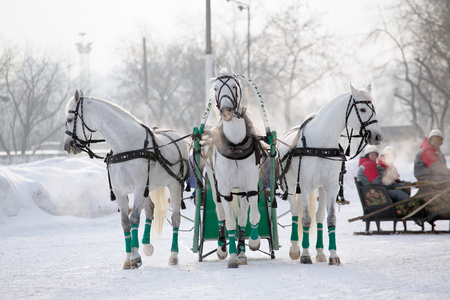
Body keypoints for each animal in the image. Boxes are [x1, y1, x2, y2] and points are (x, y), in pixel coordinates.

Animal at [63, 89, 190, 270]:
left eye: (69, 119)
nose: (67, 146)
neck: (126, 147)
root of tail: (176, 135)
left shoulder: (138, 188)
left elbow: (135, 218)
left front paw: (135, 258)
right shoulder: (120, 192)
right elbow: (125, 223)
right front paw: (128, 258)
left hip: (174, 184)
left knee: (176, 218)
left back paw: (173, 255)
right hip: (148, 188)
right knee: (150, 209)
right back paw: (147, 246)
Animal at [278, 84, 384, 264]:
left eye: (374, 109)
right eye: (362, 109)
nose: (378, 136)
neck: (321, 144)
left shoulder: (331, 187)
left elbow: (330, 219)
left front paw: (333, 255)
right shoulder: (304, 187)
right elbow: (306, 219)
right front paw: (305, 255)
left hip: (320, 188)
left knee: (319, 216)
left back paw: (320, 252)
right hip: (291, 187)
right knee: (295, 211)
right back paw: (294, 249)